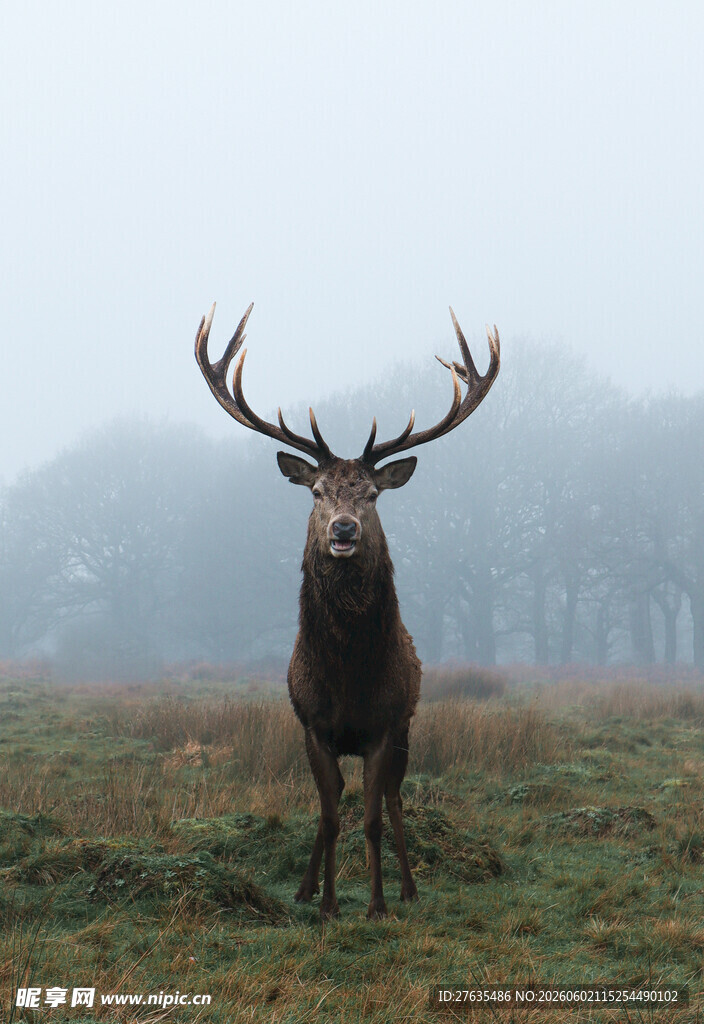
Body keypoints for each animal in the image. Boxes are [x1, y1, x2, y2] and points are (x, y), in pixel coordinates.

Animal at [195, 302, 500, 920]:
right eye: (316, 492)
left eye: (373, 495)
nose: (343, 530)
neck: (349, 676)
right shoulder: (313, 725)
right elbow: (332, 815)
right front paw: (328, 905)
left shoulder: (385, 725)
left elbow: (373, 818)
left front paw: (378, 903)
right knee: (331, 802)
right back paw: (306, 887)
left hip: (407, 728)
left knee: (396, 799)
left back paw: (407, 888)